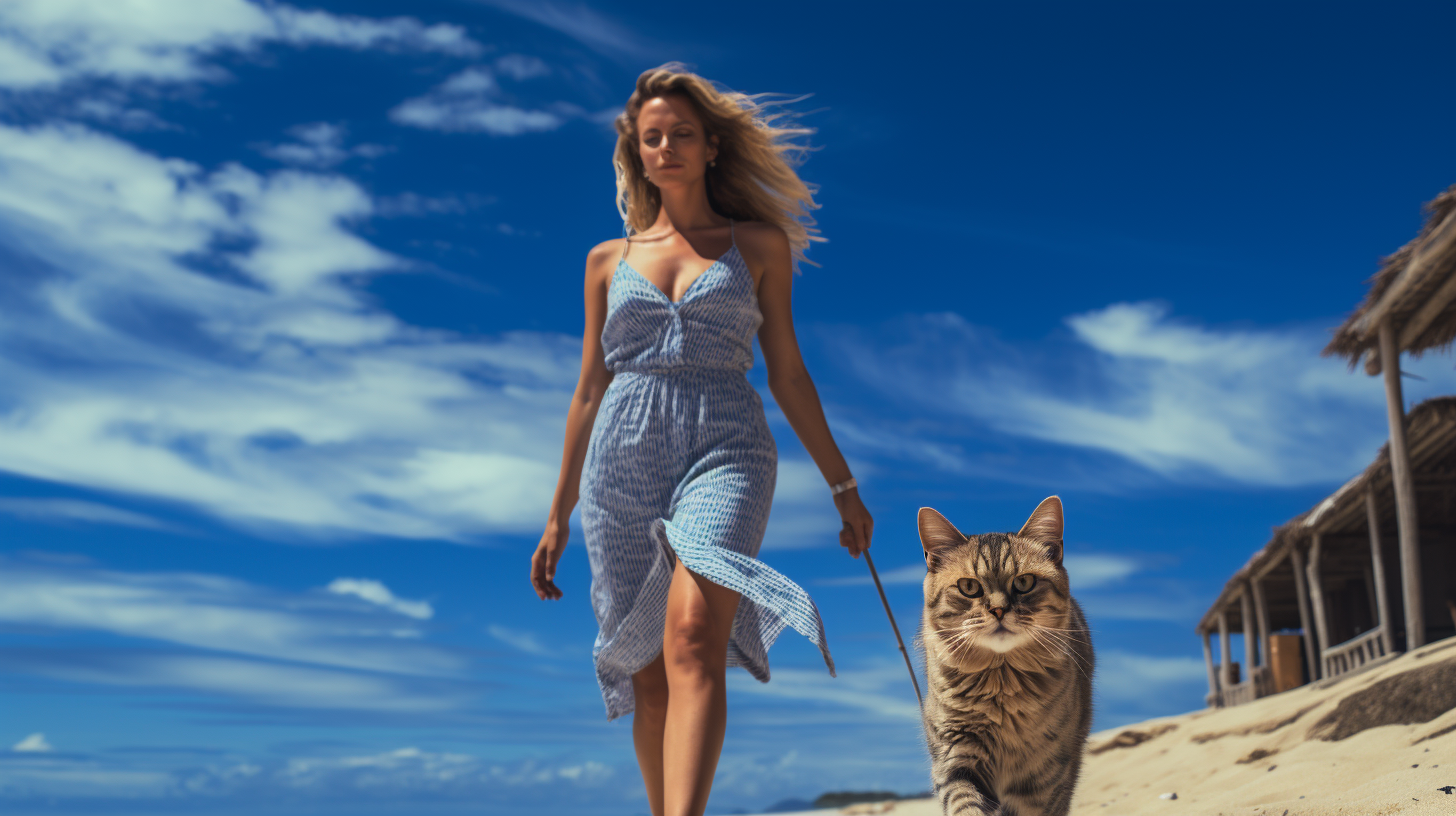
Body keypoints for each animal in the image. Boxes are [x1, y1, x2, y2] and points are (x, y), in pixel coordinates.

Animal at [920, 495, 1094, 816]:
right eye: (969, 587)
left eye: (1024, 582)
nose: (999, 610)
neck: (1001, 684)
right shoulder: (956, 755)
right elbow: (964, 803)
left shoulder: (1044, 781)